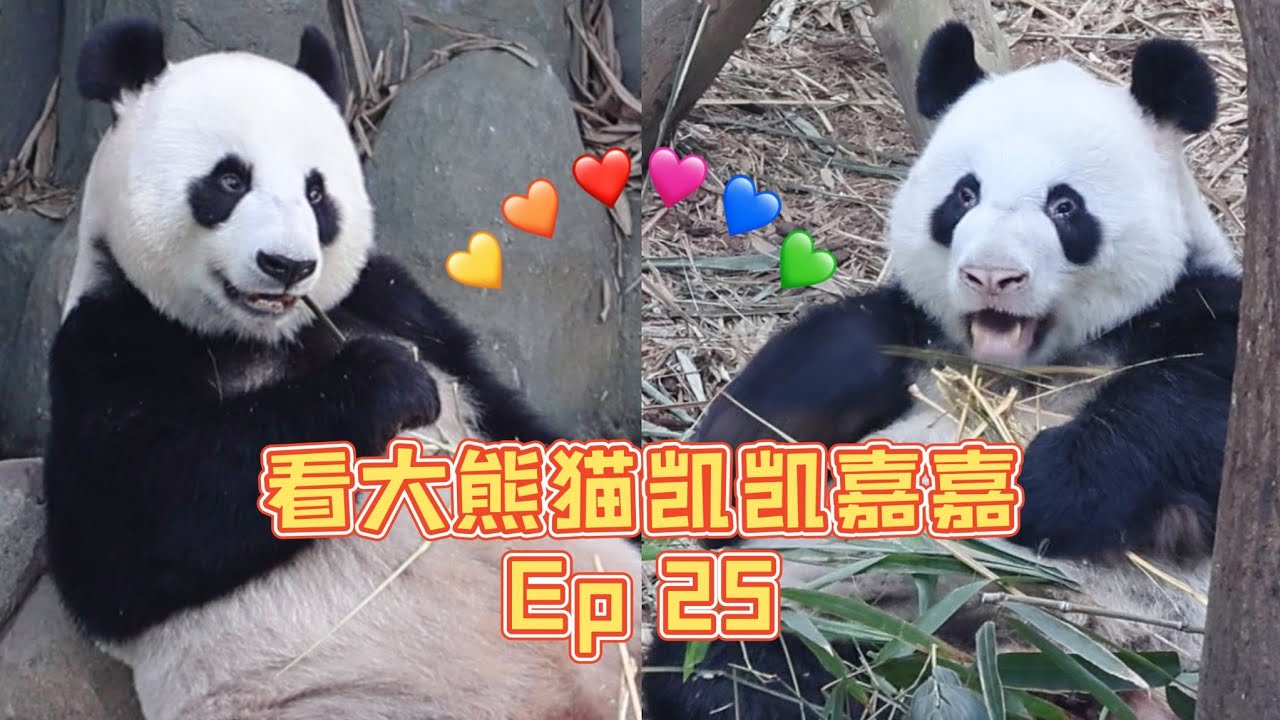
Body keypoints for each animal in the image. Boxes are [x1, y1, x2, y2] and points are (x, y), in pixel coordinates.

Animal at [44, 17, 641, 720]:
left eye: (316, 191)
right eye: (229, 181)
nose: (287, 265)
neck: (266, 336)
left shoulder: (391, 301)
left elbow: (499, 404)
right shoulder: (109, 342)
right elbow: (128, 531)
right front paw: (385, 384)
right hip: (350, 696)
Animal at [643, 23, 1239, 720]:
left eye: (1065, 206)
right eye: (965, 194)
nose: (992, 276)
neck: (1013, 370)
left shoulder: (1192, 306)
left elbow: (1193, 408)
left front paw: (1030, 483)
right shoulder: (922, 338)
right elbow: (824, 364)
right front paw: (725, 464)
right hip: (821, 607)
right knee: (737, 669)